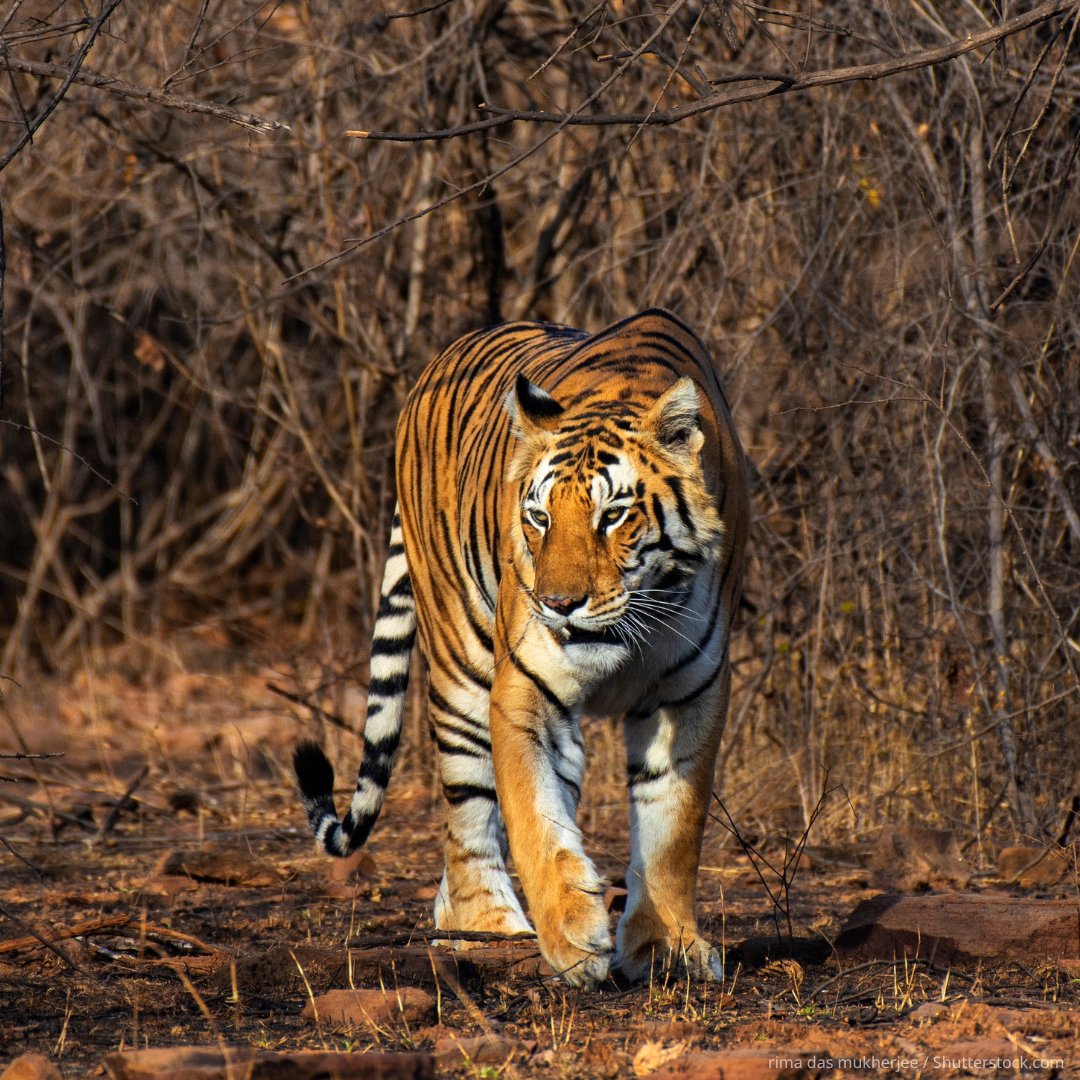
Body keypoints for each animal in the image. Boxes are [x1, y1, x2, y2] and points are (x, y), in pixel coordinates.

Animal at [294, 308, 749, 988]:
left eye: (613, 515)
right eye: (538, 517)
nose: (558, 604)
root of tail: (432, 367)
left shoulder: (692, 690)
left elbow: (673, 824)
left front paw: (665, 947)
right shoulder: (526, 687)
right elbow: (533, 814)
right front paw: (573, 938)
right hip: (459, 662)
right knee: (467, 809)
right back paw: (487, 924)